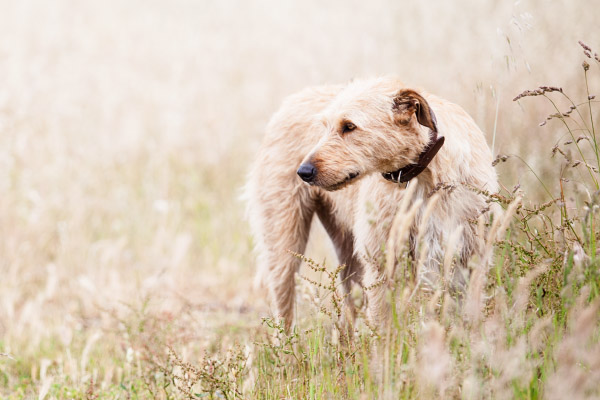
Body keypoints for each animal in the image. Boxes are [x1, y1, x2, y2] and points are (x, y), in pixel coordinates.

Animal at [244, 76, 496, 330]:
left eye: (349, 126)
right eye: (324, 127)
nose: (303, 172)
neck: (423, 172)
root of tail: (291, 101)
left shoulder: (472, 257)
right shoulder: (380, 263)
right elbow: (383, 325)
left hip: (348, 256)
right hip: (285, 244)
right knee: (284, 311)